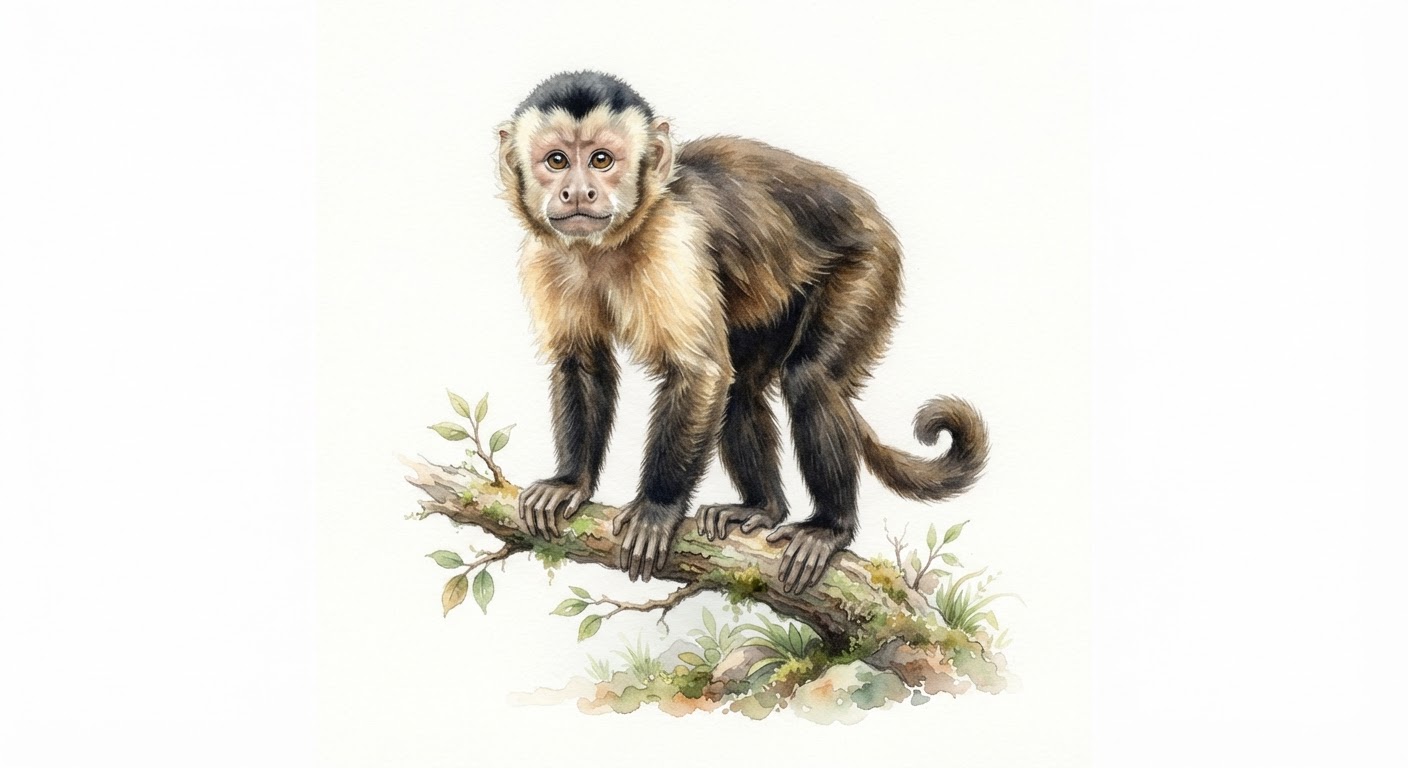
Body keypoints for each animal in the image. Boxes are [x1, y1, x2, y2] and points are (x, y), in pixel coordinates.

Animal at [499, 71, 987, 594]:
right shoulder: (547, 254)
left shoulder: (674, 239)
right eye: (557, 161)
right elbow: (583, 363)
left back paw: (830, 527)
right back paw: (763, 508)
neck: (609, 242)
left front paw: (657, 508)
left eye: (601, 160)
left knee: (808, 377)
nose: (578, 193)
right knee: (744, 388)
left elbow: (700, 373)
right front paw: (570, 482)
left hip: (872, 261)